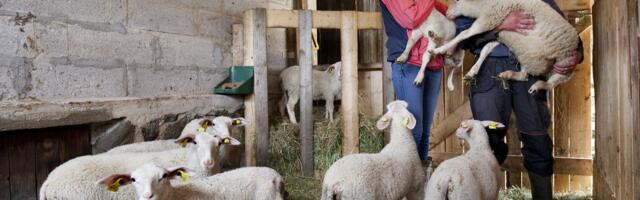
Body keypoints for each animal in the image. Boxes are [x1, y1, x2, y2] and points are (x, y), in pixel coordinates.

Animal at [432, 0, 584, 93]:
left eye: (457, 1)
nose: (447, 13)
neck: (481, 5)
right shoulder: (500, 33)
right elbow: (485, 50)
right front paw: (472, 72)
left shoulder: (490, 18)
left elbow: (464, 34)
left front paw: (439, 49)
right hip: (528, 55)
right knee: (524, 76)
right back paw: (509, 74)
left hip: (565, 65)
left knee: (551, 84)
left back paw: (538, 85)